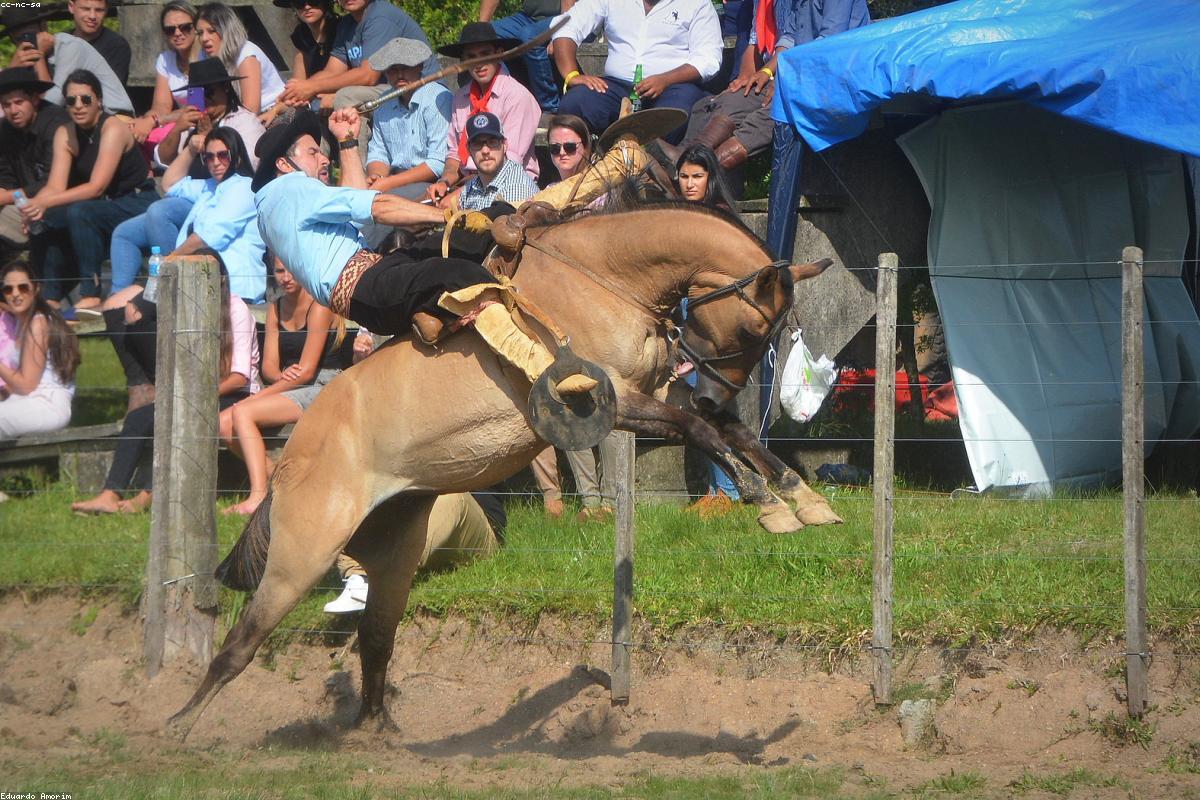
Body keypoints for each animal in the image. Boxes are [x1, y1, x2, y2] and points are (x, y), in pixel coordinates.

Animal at [166, 203, 839, 739]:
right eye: (756, 324)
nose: (721, 387)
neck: (599, 281)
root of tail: (290, 460)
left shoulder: (651, 394)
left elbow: (724, 429)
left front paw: (803, 498)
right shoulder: (608, 401)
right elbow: (702, 428)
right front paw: (767, 503)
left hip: (393, 552)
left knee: (376, 640)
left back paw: (376, 731)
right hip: (301, 556)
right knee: (242, 643)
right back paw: (177, 728)